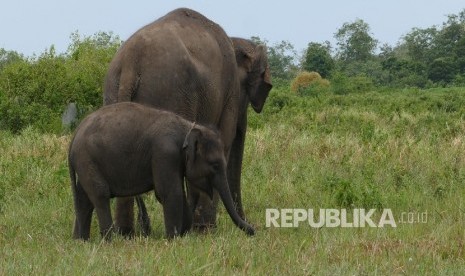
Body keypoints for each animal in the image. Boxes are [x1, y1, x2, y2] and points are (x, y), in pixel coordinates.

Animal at [68, 101, 254, 239]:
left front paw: (182, 234)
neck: (188, 127)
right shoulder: (165, 153)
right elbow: (170, 192)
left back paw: (81, 240)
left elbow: (178, 192)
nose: (253, 230)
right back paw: (108, 240)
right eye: (214, 164)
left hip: (85, 163)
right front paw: (173, 238)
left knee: (84, 199)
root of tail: (74, 136)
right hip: (87, 159)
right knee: (100, 195)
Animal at [103, 7, 270, 234]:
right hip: (170, 93)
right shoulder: (229, 92)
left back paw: (127, 232)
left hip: (114, 90)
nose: (252, 227)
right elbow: (221, 144)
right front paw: (204, 229)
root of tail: (130, 63)